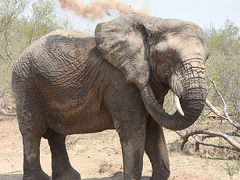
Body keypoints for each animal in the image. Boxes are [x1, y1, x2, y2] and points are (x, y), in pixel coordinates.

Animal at [12, 14, 208, 180]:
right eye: (163, 55)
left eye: (206, 57)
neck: (154, 23)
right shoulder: (120, 82)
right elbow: (133, 129)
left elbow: (153, 128)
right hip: (25, 83)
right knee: (32, 132)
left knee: (56, 135)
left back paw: (69, 177)